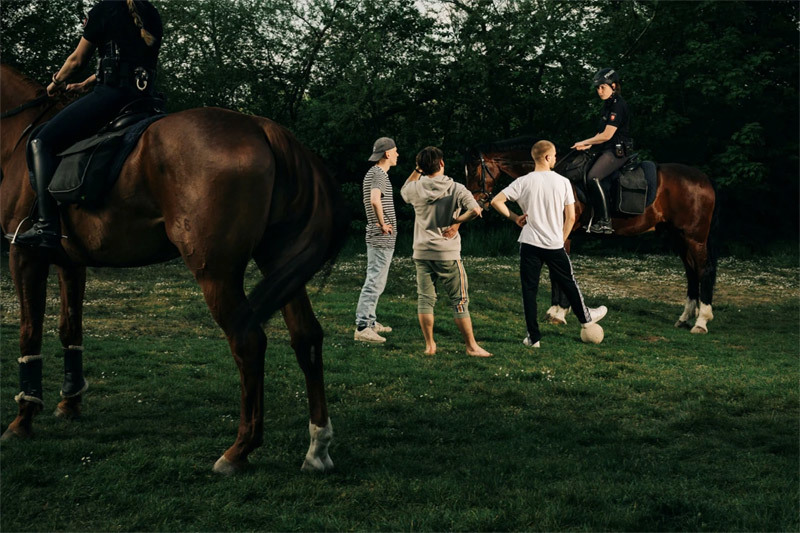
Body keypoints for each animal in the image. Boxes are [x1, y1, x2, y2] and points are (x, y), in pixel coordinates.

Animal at [1, 63, 348, 474]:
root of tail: (262, 127)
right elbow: (70, 328)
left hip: (216, 273)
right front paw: (69, 401)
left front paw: (23, 418)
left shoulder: (24, 255)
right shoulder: (71, 262)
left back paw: (239, 450)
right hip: (278, 261)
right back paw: (318, 446)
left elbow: (29, 333)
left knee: (248, 341)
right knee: (306, 337)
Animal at [462, 135, 720, 330]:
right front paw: (556, 310)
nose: (475, 204)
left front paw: (558, 312)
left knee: (703, 270)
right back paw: (685, 318)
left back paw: (701, 321)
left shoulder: (561, 234)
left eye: (474, 170)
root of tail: (704, 180)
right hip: (678, 237)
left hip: (694, 237)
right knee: (691, 272)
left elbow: (559, 271)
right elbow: (556, 272)